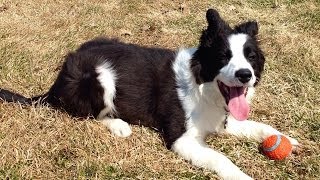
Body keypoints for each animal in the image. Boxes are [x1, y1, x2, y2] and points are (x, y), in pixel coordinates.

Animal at [1, 8, 298, 180]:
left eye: (250, 57)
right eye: (223, 56)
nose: (245, 75)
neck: (202, 85)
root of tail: (57, 81)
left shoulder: (222, 120)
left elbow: (257, 125)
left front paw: (287, 139)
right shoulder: (181, 140)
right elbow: (220, 158)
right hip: (98, 77)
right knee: (87, 113)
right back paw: (118, 125)